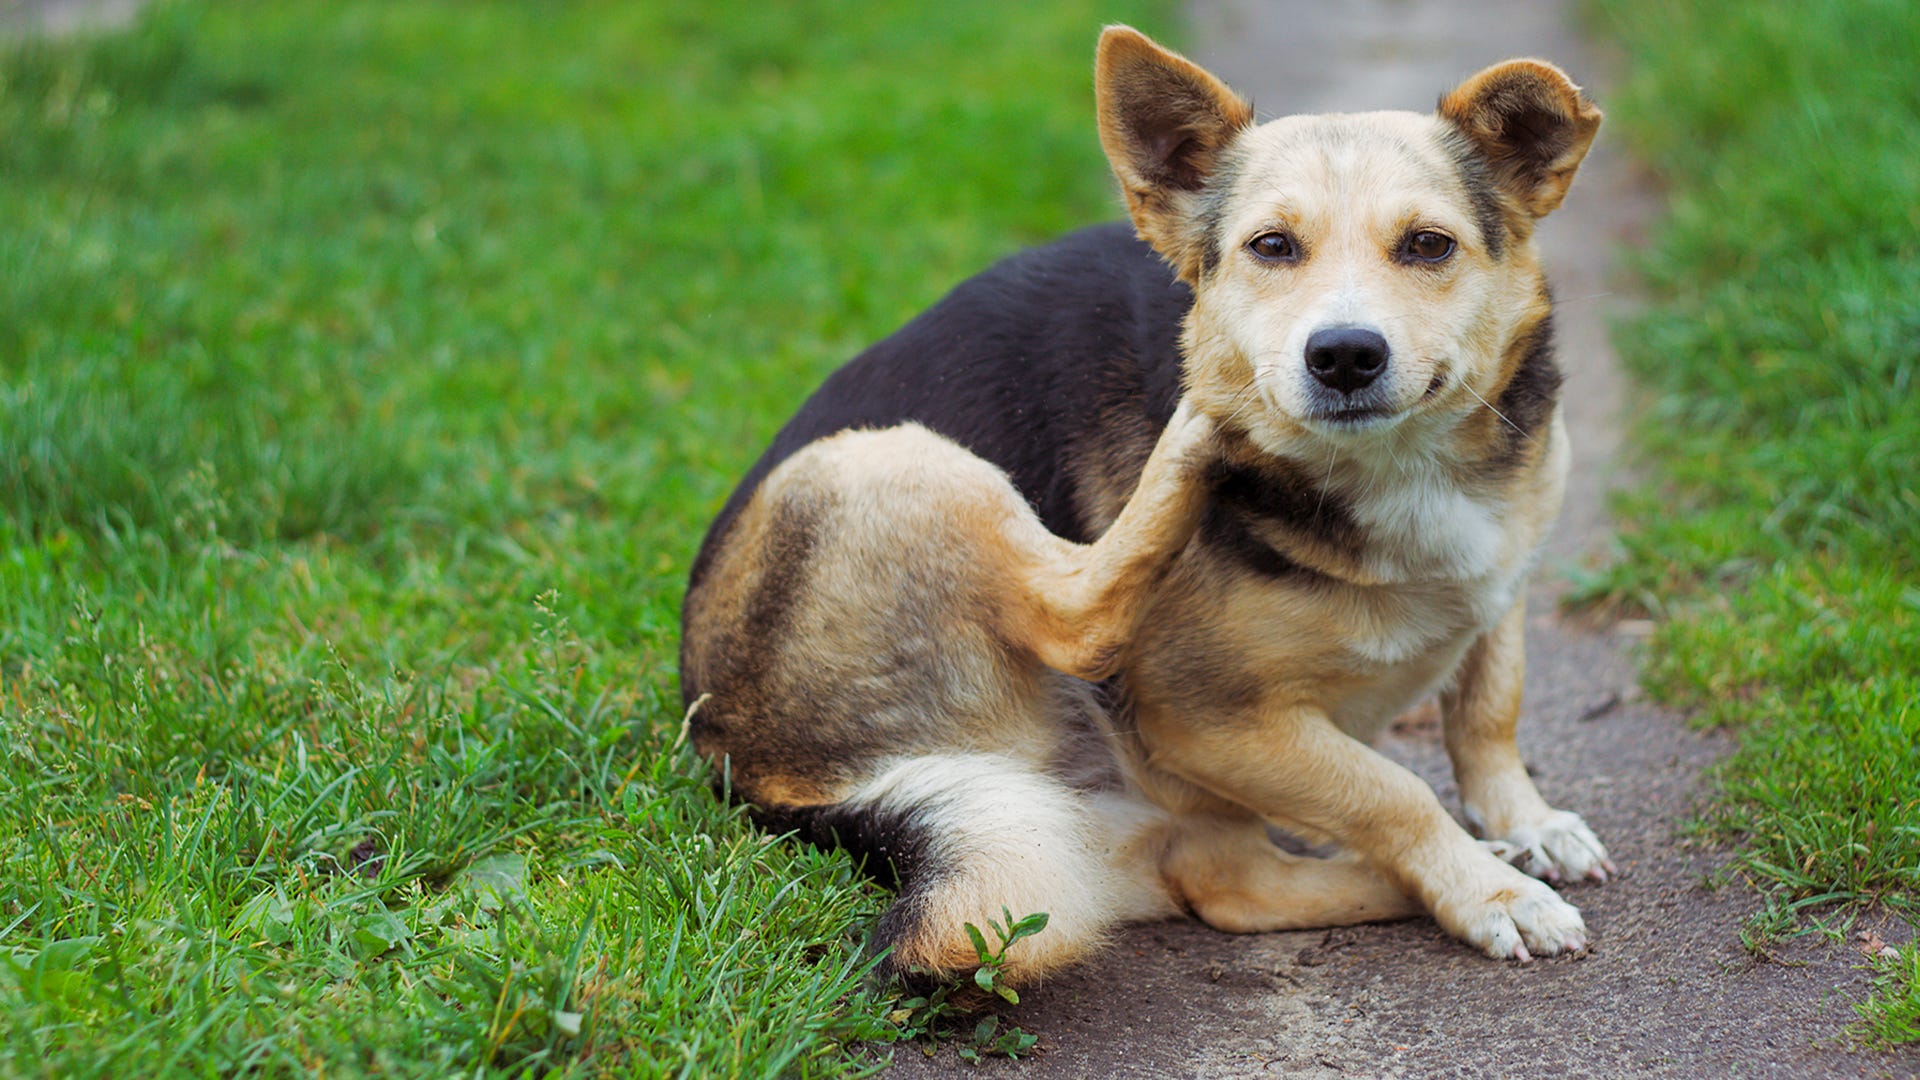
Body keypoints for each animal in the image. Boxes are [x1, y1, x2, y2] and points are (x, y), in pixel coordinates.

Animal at [683, 25, 1612, 983]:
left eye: (1429, 246)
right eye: (1271, 247)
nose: (1343, 356)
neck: (1400, 466)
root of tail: (754, 770)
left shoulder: (1503, 574)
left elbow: (1488, 710)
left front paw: (1524, 827)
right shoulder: (1206, 721)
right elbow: (1395, 792)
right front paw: (1488, 890)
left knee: (1227, 882)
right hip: (894, 457)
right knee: (1079, 619)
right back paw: (1203, 425)